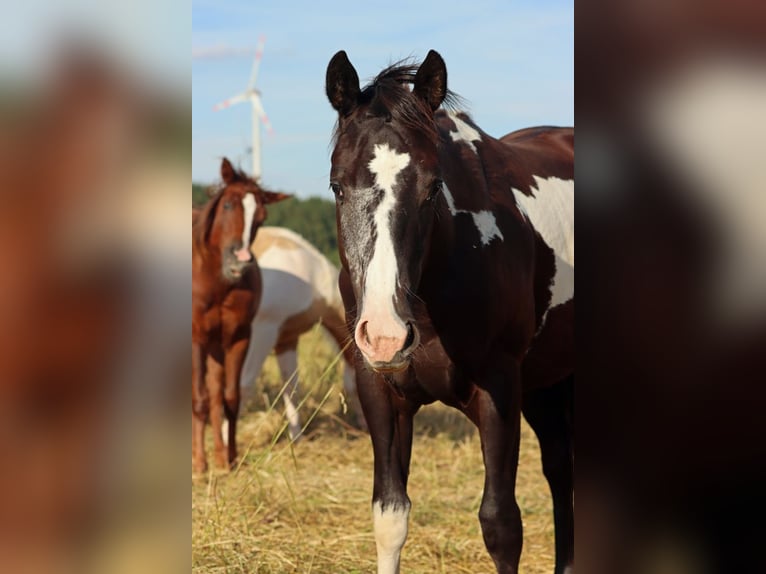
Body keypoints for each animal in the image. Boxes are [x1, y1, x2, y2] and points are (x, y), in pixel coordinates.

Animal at [191, 158, 289, 473]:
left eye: (261, 216)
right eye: (227, 205)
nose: (240, 262)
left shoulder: (238, 338)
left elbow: (229, 399)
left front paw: (229, 459)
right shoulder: (195, 339)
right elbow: (199, 400)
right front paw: (199, 465)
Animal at [239, 226, 366, 439]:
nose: (366, 428)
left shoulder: (287, 339)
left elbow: (292, 388)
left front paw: (296, 437)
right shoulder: (262, 331)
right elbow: (244, 385)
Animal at [325, 50, 574, 574]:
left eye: (433, 186)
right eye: (337, 186)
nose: (386, 335)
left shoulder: (499, 389)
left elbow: (502, 525)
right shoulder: (379, 389)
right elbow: (390, 516)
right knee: (562, 472)